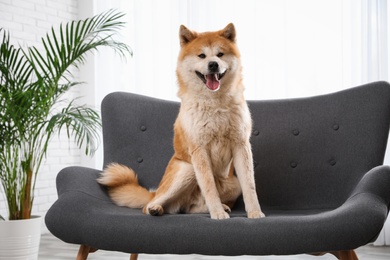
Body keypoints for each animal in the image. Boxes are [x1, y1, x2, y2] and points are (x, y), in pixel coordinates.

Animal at [97, 23, 266, 219]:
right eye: (201, 55)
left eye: (220, 54)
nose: (213, 64)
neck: (215, 104)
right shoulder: (199, 149)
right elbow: (209, 187)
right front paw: (217, 213)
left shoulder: (241, 145)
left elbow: (250, 186)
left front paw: (254, 212)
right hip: (188, 169)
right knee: (149, 205)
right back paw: (156, 208)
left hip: (232, 184)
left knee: (191, 208)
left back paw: (219, 207)